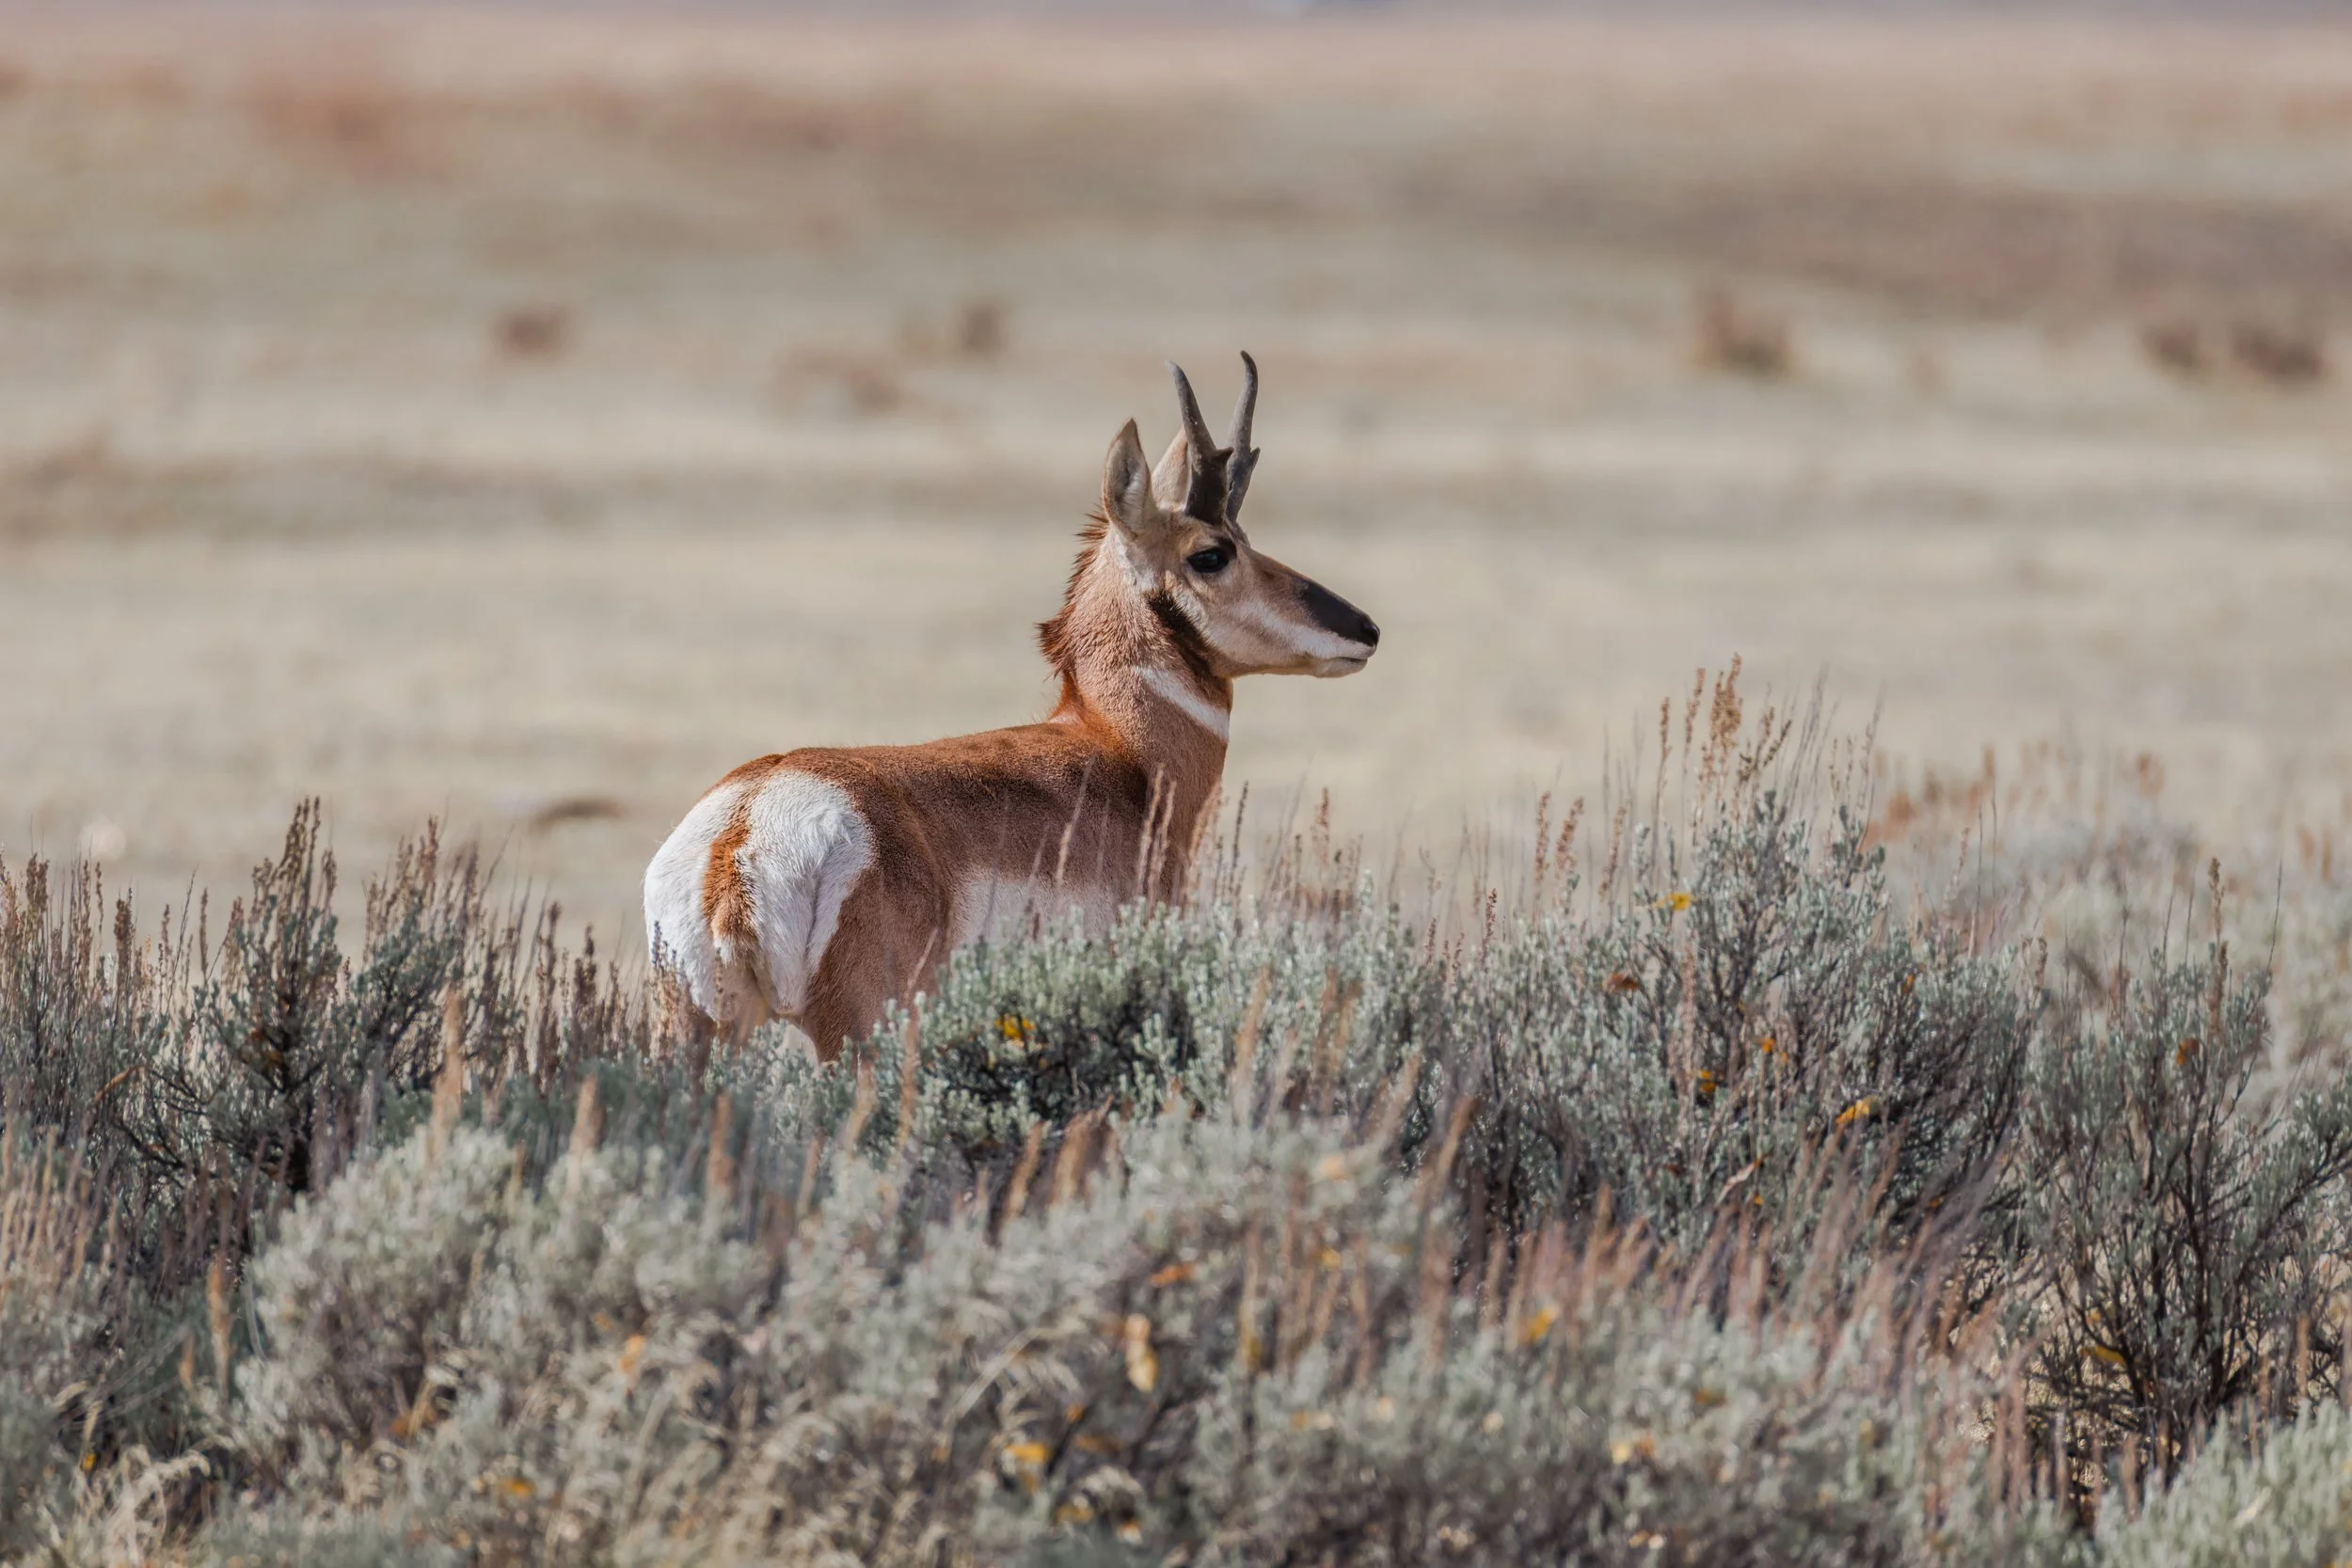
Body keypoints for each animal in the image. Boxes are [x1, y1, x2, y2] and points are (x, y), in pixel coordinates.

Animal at [644, 356, 1380, 1062]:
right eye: (1212, 553)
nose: (1365, 629)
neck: (1117, 748)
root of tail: (744, 826)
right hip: (862, 1035)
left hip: (696, 1035)